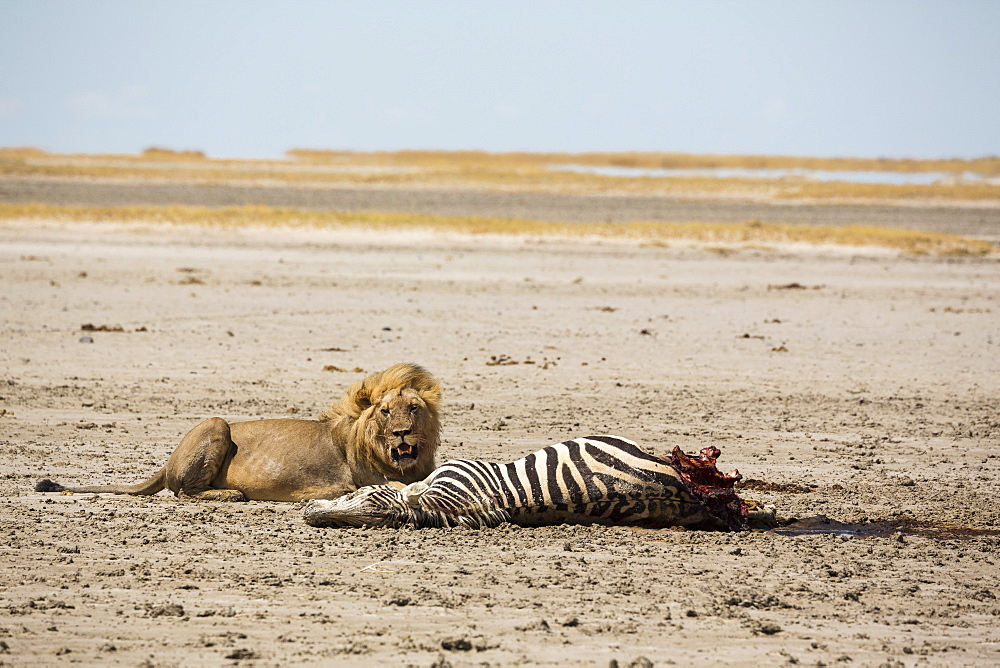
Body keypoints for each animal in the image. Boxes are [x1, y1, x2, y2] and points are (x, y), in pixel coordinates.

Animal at [36, 360, 442, 500]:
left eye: (413, 409)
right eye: (385, 411)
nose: (402, 433)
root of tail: (166, 462)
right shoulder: (362, 478)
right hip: (216, 424)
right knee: (183, 492)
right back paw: (230, 494)